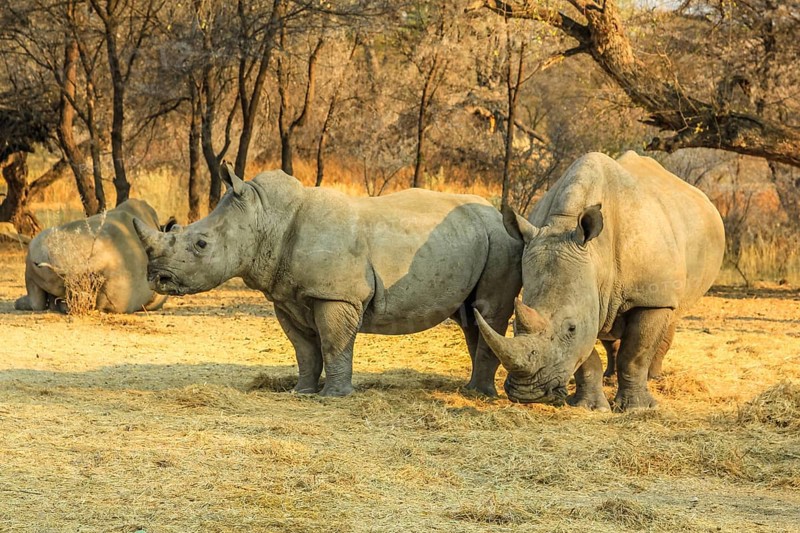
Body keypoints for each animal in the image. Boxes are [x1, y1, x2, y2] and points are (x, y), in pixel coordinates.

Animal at [133, 164, 522, 397]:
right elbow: (304, 349)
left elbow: (334, 343)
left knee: (489, 312)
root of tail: (497, 213)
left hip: (502, 240)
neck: (265, 218)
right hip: (479, 238)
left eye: (200, 244)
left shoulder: (335, 295)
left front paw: (334, 396)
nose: (156, 278)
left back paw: (479, 394)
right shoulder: (285, 296)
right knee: (472, 317)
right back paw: (472, 390)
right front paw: (301, 392)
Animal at [476, 151, 725, 411]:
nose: (527, 394)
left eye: (571, 328)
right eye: (514, 325)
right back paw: (610, 378)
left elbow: (635, 355)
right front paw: (591, 407)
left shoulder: (651, 297)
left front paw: (637, 408)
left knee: (672, 315)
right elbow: (586, 357)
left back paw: (653, 378)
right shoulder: (589, 296)